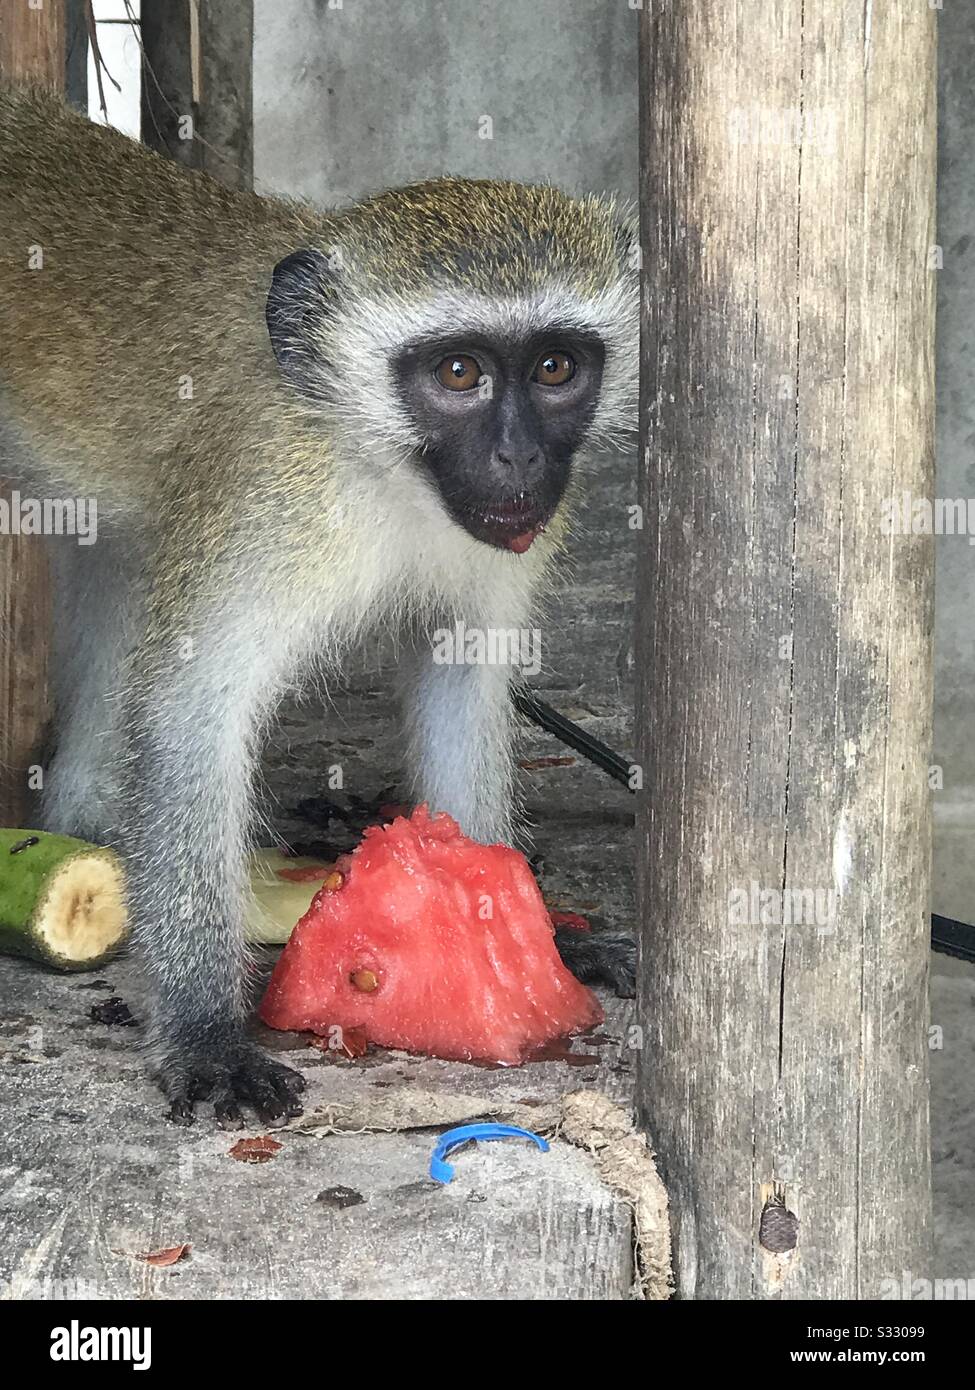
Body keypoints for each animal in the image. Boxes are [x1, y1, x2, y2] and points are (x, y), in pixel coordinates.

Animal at [0, 86, 638, 1126]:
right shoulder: (268, 499)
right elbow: (192, 715)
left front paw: (529, 930)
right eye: (457, 374)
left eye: (554, 369)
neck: (377, 463)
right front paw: (206, 1032)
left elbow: (460, 680)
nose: (519, 459)